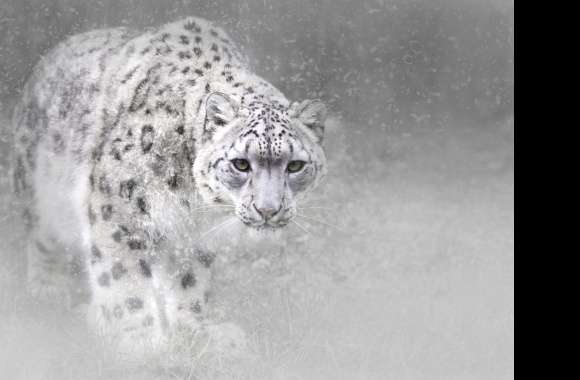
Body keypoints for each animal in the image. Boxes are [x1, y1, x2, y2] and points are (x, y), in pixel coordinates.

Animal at [10, 17, 326, 356]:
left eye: (295, 165)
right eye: (241, 164)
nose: (268, 210)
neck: (191, 199)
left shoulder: (194, 236)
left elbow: (191, 282)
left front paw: (194, 333)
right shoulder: (116, 209)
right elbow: (124, 279)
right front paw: (140, 341)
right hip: (39, 190)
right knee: (42, 238)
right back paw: (51, 291)